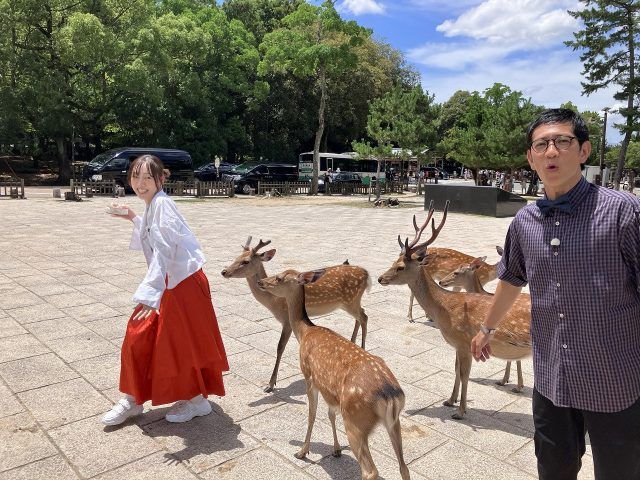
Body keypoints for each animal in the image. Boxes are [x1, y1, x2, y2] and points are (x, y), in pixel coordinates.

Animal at [221, 237, 370, 392]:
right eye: (236, 257)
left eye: (246, 261)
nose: (224, 271)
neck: (273, 301)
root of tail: (367, 274)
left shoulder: (286, 320)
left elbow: (280, 347)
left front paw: (270, 384)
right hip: (350, 303)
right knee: (360, 316)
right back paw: (353, 342)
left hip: (351, 300)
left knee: (364, 316)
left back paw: (362, 347)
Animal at [257, 268, 410, 480]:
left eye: (279, 278)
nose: (260, 281)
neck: (304, 332)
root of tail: (390, 395)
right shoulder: (331, 392)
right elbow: (330, 414)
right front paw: (336, 450)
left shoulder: (309, 375)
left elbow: (312, 414)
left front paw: (302, 452)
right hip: (394, 423)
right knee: (404, 467)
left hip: (355, 420)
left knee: (370, 471)